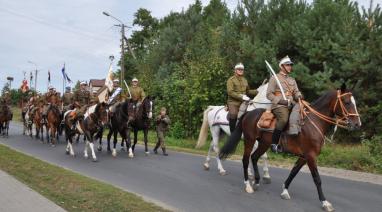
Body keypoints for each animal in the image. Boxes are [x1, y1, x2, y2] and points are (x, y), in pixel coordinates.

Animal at [219, 85, 360, 212]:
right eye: (347, 102)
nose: (357, 124)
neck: (313, 122)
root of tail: (249, 113)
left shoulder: (304, 157)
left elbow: (293, 172)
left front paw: (285, 190)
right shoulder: (310, 156)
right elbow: (317, 179)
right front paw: (325, 202)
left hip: (264, 144)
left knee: (254, 157)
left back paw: (257, 181)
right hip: (249, 140)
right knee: (245, 160)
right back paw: (248, 185)